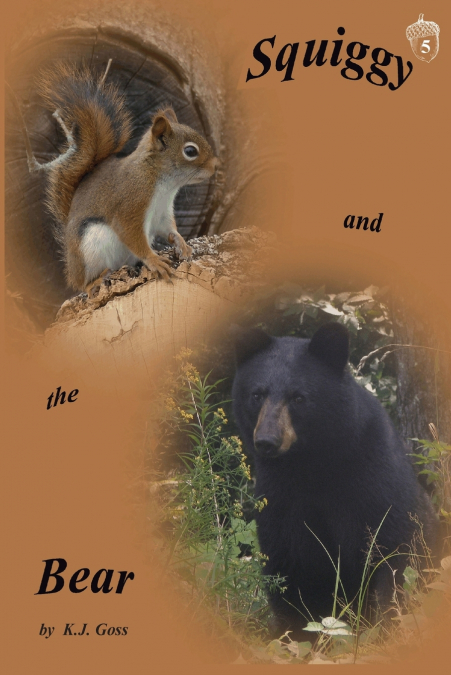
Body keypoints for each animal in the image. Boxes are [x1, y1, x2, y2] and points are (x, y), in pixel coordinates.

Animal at [232, 322, 438, 638]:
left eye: (298, 397)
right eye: (257, 394)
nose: (267, 441)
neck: (312, 462)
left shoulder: (374, 481)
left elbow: (394, 554)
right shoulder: (279, 494)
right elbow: (286, 565)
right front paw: (294, 637)